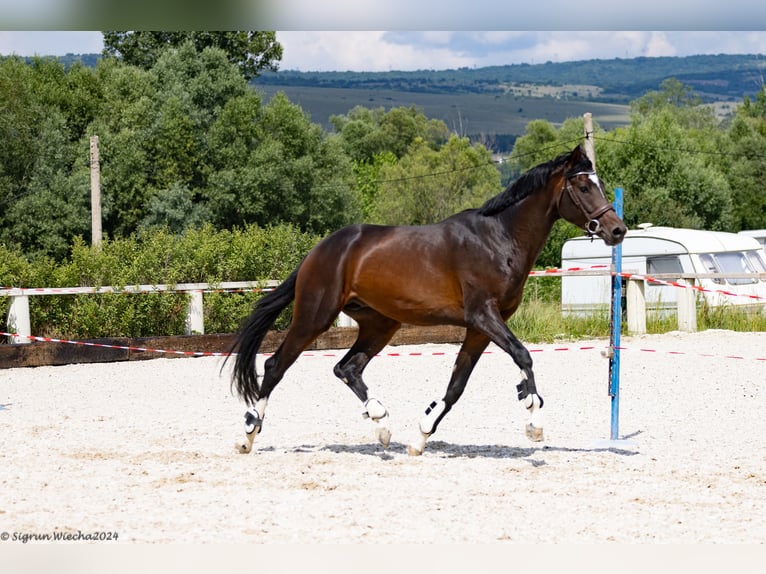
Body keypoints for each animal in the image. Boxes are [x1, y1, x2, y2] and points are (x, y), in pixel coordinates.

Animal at [226, 145, 624, 460]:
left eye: (601, 185)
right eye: (584, 186)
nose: (616, 230)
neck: (499, 239)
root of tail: (319, 250)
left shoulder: (480, 328)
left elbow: (456, 386)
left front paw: (420, 437)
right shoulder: (484, 316)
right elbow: (523, 356)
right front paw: (533, 418)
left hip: (380, 323)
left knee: (347, 368)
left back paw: (382, 424)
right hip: (315, 315)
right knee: (276, 365)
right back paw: (248, 436)